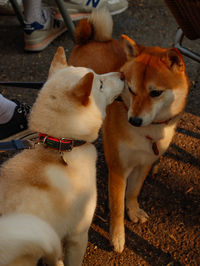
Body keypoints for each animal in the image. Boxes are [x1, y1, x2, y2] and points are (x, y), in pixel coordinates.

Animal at [68, 8, 190, 254]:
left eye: (155, 93)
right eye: (131, 90)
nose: (134, 120)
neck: (148, 133)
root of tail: (89, 40)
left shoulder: (144, 162)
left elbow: (133, 192)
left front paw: (133, 211)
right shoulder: (118, 169)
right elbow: (116, 208)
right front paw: (117, 237)